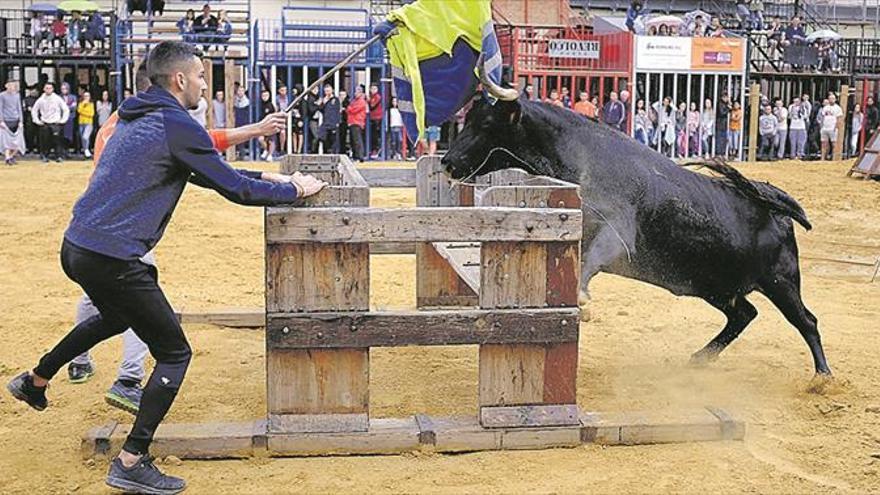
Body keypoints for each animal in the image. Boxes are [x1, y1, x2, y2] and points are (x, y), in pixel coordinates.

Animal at [440, 98, 832, 376]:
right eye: (466, 120)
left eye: (486, 123)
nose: (447, 162)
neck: (583, 158)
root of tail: (775, 207)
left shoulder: (616, 235)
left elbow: (590, 261)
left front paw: (581, 298)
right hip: (715, 286)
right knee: (745, 314)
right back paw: (699, 359)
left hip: (781, 282)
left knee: (807, 321)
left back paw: (822, 377)